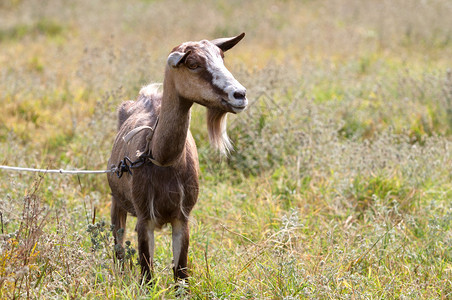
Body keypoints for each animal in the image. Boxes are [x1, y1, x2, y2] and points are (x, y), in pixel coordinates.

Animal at [106, 32, 247, 284]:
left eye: (222, 57)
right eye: (192, 64)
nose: (240, 95)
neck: (160, 158)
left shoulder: (183, 217)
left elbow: (181, 274)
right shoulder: (144, 218)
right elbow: (147, 276)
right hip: (116, 202)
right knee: (118, 248)